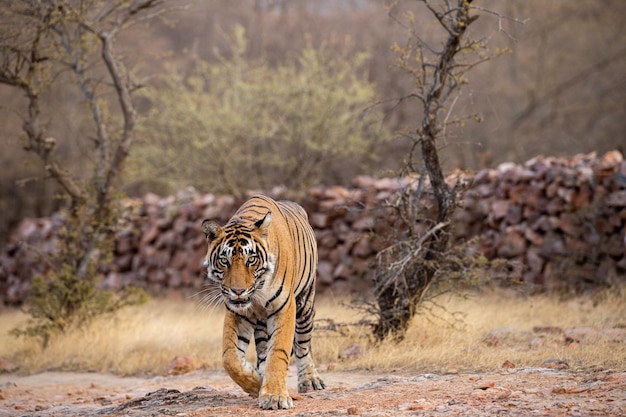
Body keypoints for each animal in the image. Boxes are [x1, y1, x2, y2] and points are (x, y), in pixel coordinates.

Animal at [201, 193, 326, 408]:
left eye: (251, 260)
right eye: (224, 261)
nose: (238, 291)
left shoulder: (284, 307)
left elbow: (278, 352)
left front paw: (275, 397)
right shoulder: (237, 312)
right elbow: (230, 358)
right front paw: (257, 383)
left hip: (305, 304)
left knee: (303, 345)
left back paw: (310, 380)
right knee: (262, 349)